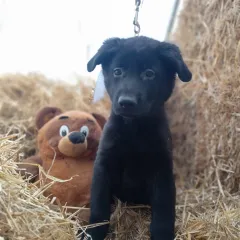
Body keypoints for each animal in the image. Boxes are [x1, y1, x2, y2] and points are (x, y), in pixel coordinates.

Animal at [79, 36, 192, 240]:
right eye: (117, 71)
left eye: (149, 73)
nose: (126, 102)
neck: (134, 130)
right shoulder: (103, 165)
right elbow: (99, 208)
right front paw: (92, 233)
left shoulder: (162, 170)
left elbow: (163, 210)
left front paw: (162, 234)